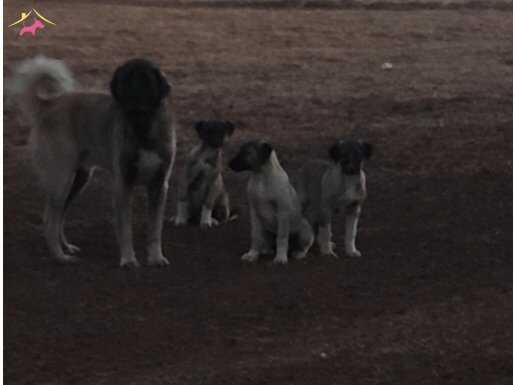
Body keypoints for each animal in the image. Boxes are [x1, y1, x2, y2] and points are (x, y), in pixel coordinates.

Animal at [8, 56, 175, 268]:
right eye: (125, 78)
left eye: (145, 79)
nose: (132, 92)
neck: (141, 127)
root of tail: (49, 104)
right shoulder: (123, 186)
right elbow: (125, 229)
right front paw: (128, 259)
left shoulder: (159, 187)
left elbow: (155, 229)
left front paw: (155, 257)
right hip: (61, 180)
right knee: (50, 219)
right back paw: (59, 256)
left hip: (79, 180)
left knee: (60, 215)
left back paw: (66, 247)